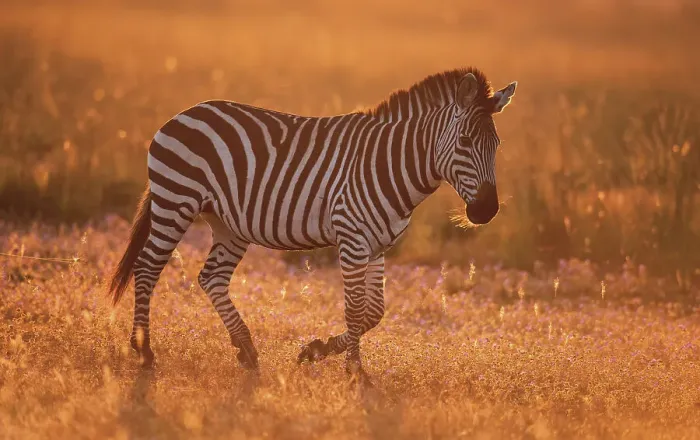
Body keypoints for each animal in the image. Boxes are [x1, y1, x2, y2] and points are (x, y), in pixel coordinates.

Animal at [108, 67, 517, 378]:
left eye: (497, 145)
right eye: (465, 142)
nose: (486, 212)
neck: (391, 164)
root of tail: (185, 112)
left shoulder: (378, 245)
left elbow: (374, 312)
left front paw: (316, 350)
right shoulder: (352, 238)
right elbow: (355, 309)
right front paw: (355, 372)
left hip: (228, 224)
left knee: (211, 278)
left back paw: (246, 350)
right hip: (176, 201)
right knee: (147, 268)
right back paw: (144, 351)